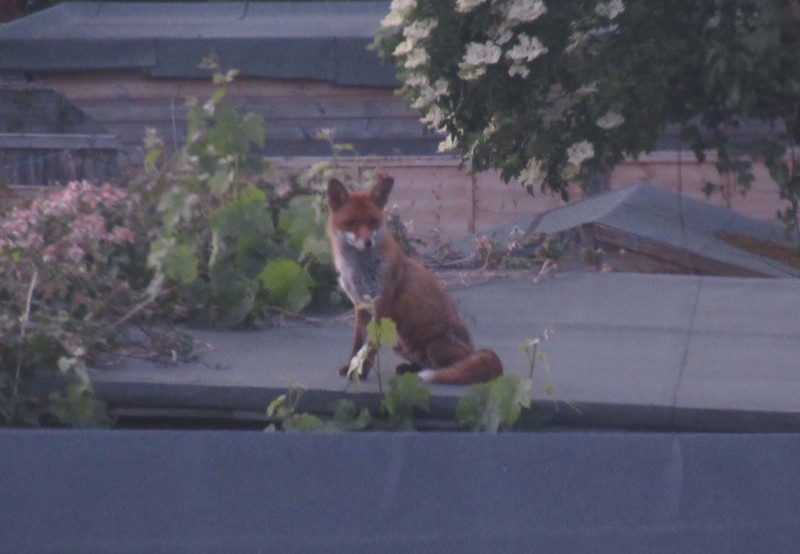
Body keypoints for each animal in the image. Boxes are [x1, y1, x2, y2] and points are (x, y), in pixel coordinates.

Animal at [324, 175, 500, 382]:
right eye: (351, 223)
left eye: (374, 222)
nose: (368, 242)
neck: (358, 269)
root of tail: (472, 351)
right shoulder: (361, 305)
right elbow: (358, 343)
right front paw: (351, 366)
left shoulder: (382, 305)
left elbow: (371, 346)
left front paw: (361, 371)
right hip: (398, 341)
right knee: (424, 363)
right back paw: (409, 368)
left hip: (434, 347)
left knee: (449, 367)